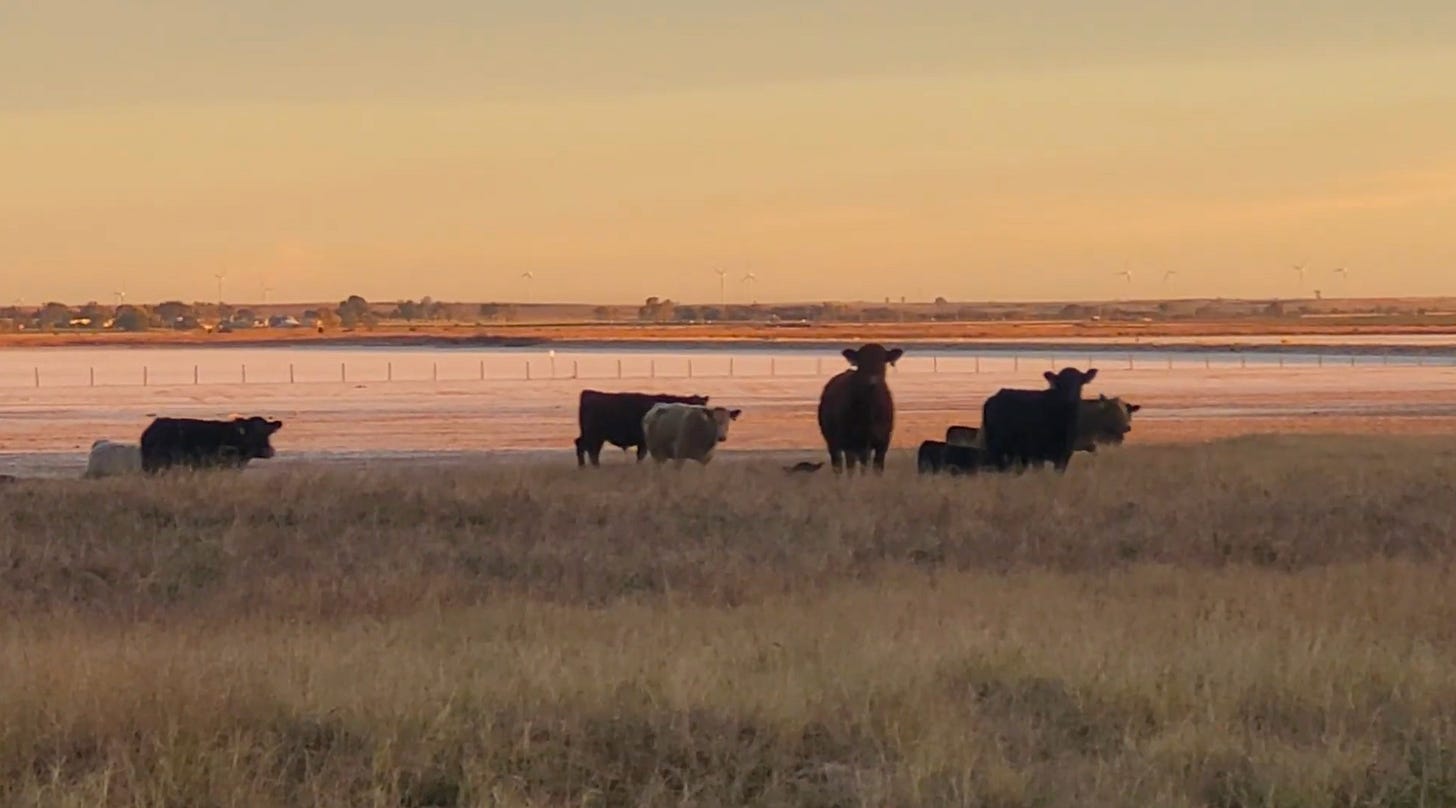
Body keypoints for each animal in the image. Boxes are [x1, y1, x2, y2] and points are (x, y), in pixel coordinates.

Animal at [575, 390, 709, 467]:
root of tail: (589, 393)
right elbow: (643, 455)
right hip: (593, 434)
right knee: (588, 448)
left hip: (595, 436)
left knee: (588, 448)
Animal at [817, 343, 904, 474]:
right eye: (861, 361)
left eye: (882, 360)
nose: (872, 379)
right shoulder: (849, 443)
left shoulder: (882, 443)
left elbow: (876, 470)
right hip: (833, 443)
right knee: (840, 466)